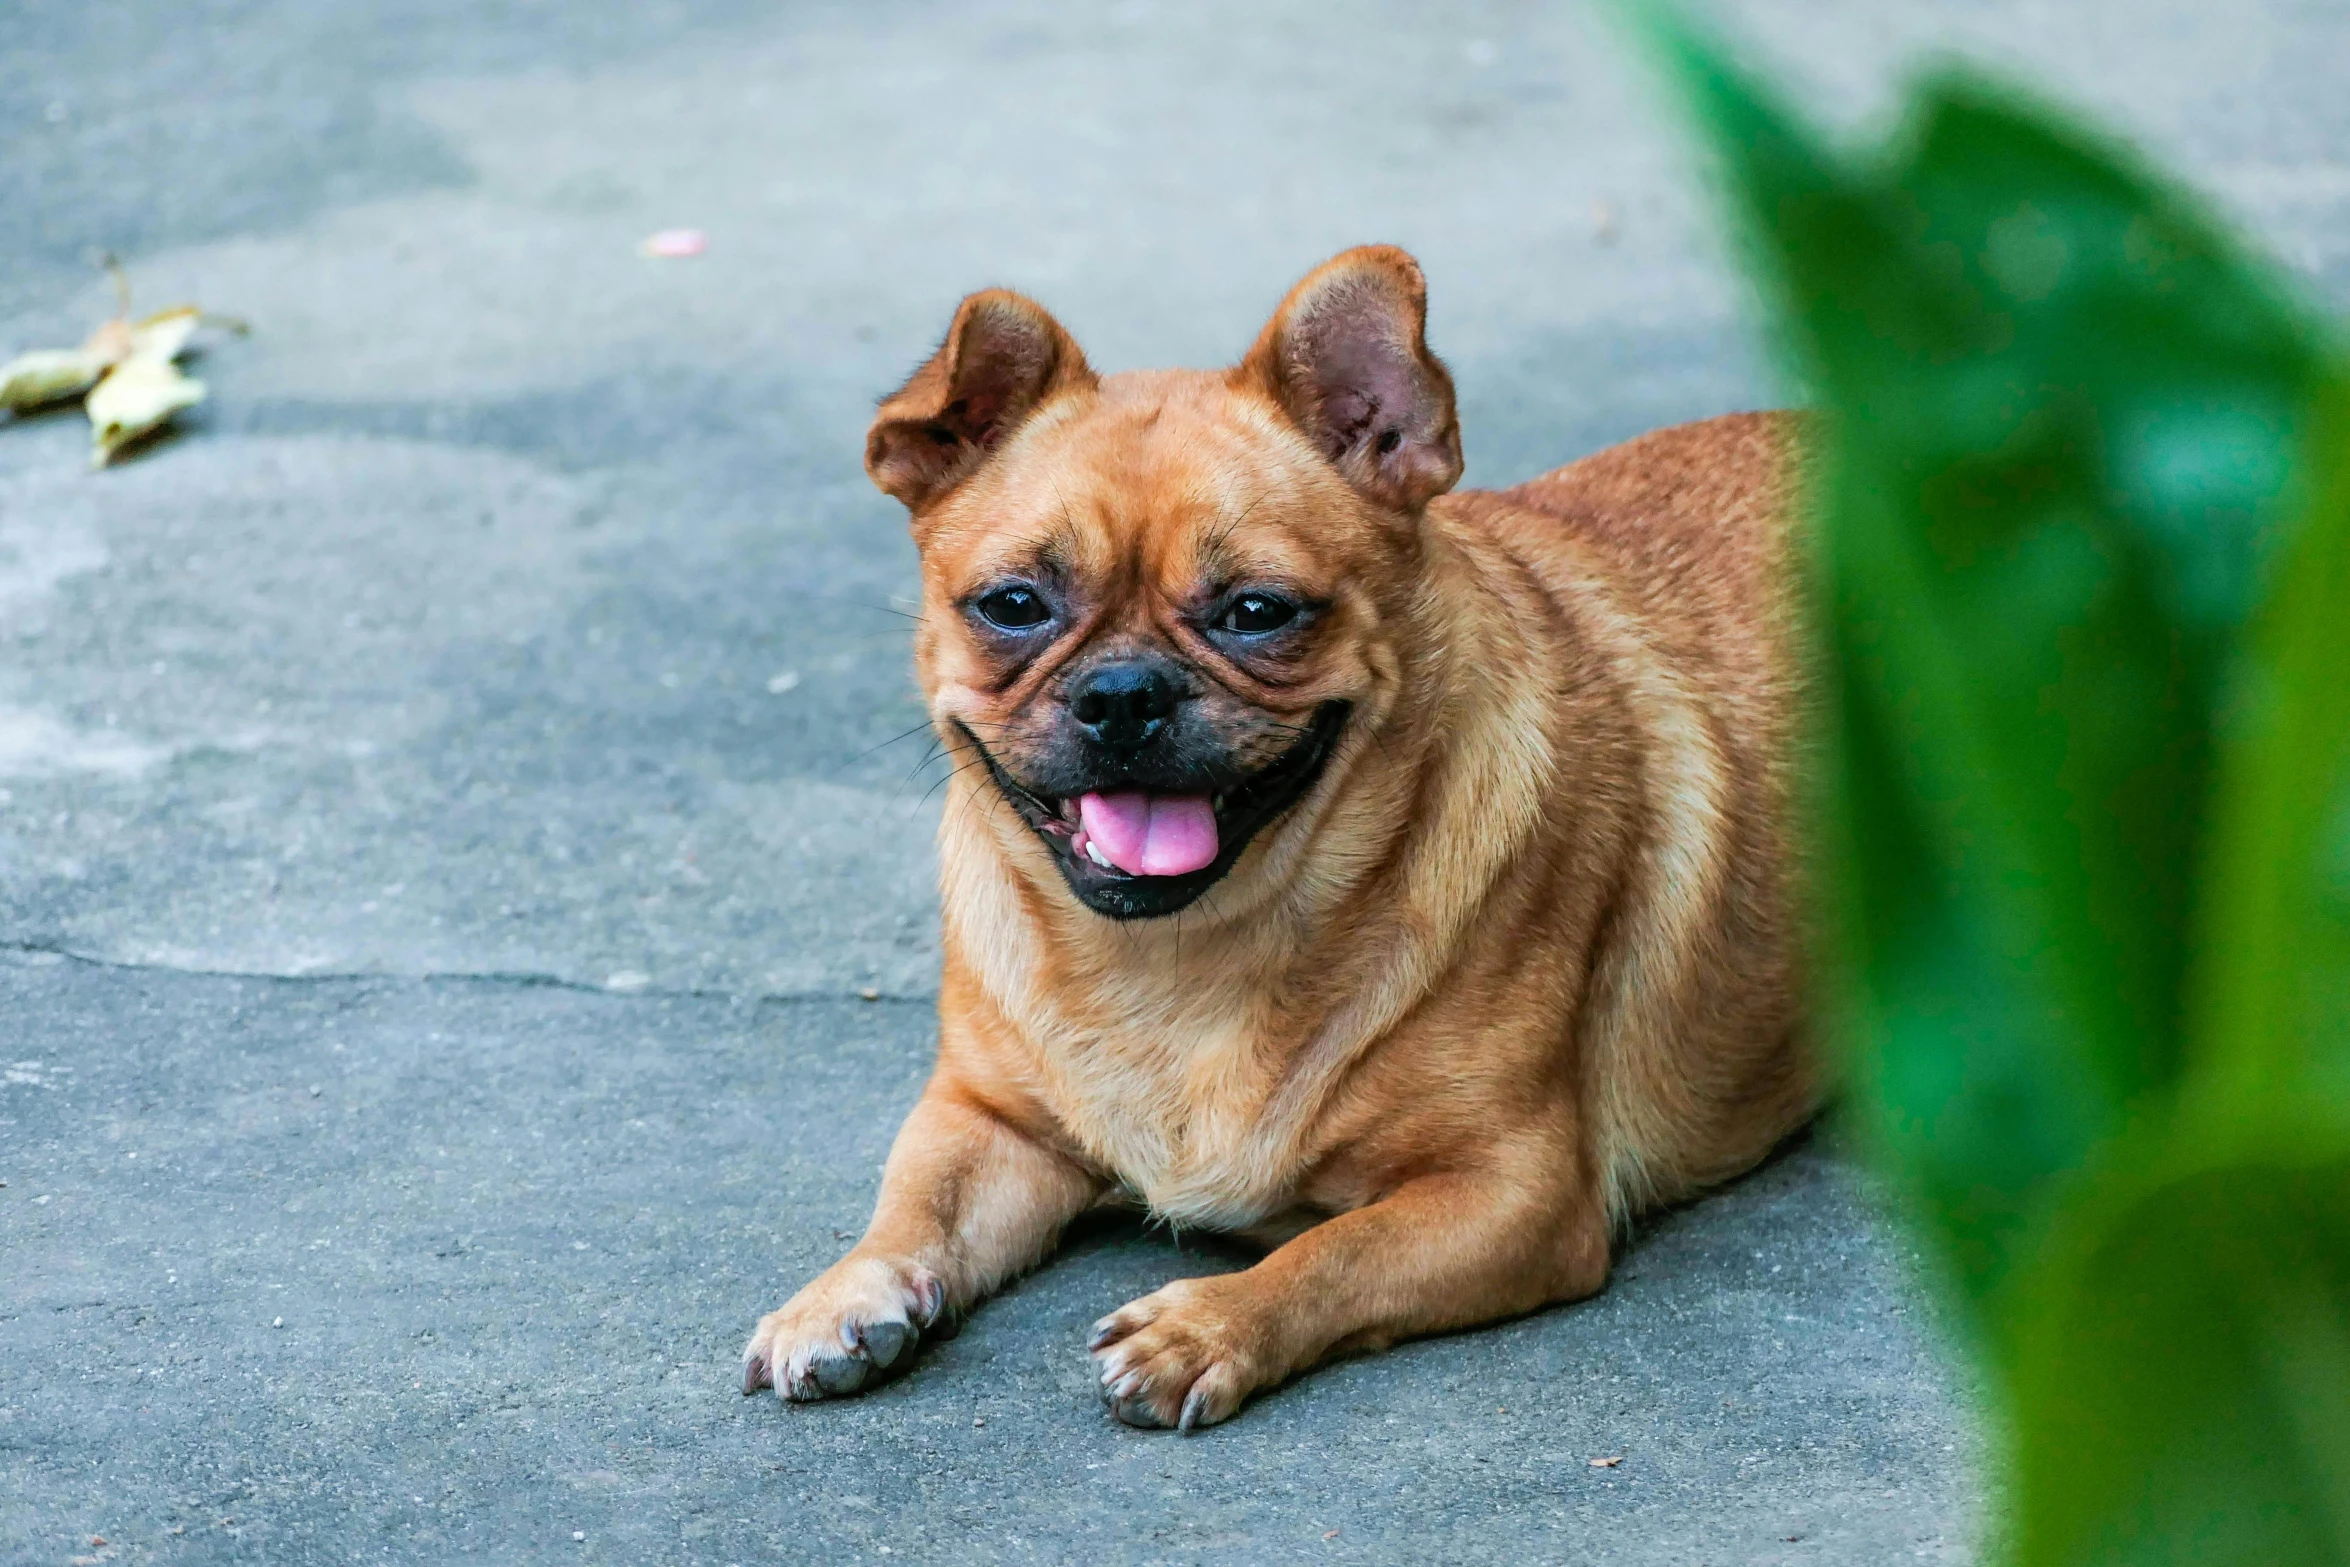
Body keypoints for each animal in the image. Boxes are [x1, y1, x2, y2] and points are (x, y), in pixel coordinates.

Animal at [747, 245, 1814, 1437]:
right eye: (1013, 605)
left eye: (1258, 612)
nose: (1123, 692)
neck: (1184, 955)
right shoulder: (987, 1122)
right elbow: (912, 1202)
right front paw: (845, 1289)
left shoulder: (1512, 1195)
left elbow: (1334, 1251)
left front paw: (1207, 1324)